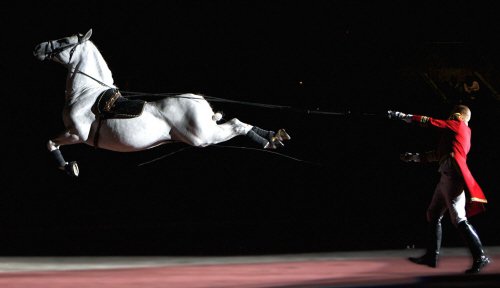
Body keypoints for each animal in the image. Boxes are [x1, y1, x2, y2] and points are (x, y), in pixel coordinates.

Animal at [34, 29, 290, 178]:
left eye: (64, 40)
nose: (38, 48)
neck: (87, 92)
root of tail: (200, 101)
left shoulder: (76, 134)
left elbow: (50, 143)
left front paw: (69, 167)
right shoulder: (74, 134)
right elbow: (51, 143)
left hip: (203, 137)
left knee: (237, 124)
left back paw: (268, 140)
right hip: (207, 132)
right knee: (238, 122)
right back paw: (273, 137)